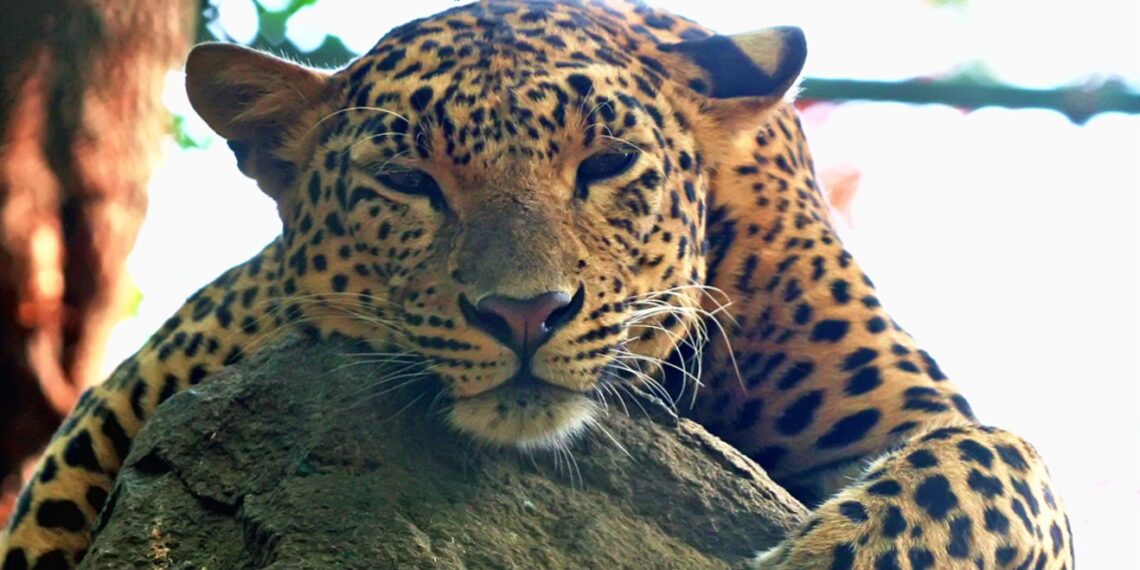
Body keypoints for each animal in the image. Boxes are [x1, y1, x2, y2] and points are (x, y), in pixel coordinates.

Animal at [1, 1, 1074, 568]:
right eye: (409, 183)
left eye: (605, 165)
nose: (525, 312)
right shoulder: (120, 402)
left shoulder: (913, 412)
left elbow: (989, 467)